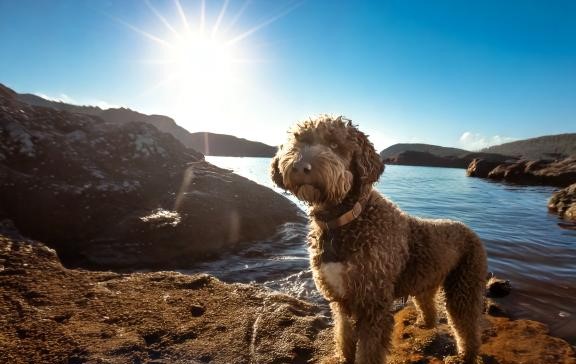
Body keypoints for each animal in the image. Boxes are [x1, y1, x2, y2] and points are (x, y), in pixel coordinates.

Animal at [270, 115, 486, 362]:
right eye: (299, 140)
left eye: (334, 145)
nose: (300, 166)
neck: (345, 221)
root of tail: (470, 230)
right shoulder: (340, 300)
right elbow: (343, 335)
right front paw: (344, 356)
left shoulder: (373, 305)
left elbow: (368, 351)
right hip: (426, 281)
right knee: (429, 307)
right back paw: (425, 325)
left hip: (464, 287)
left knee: (467, 328)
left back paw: (466, 354)